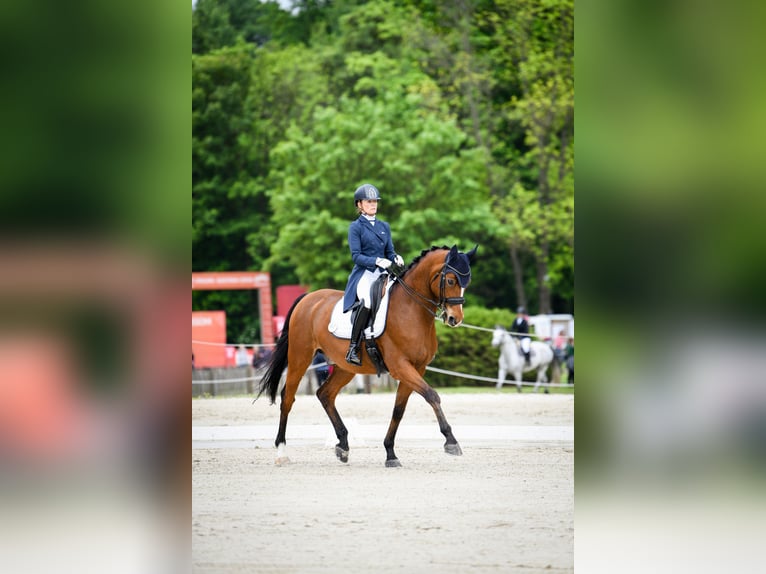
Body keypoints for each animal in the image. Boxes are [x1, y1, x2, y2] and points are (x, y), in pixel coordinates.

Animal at [258, 246, 476, 468]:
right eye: (451, 281)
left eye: (466, 283)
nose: (455, 319)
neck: (410, 309)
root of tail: (308, 297)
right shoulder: (401, 366)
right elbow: (432, 395)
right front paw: (451, 441)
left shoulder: (417, 367)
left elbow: (399, 409)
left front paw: (390, 453)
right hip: (299, 357)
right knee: (288, 397)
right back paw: (282, 452)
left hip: (345, 367)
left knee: (325, 394)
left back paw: (343, 446)